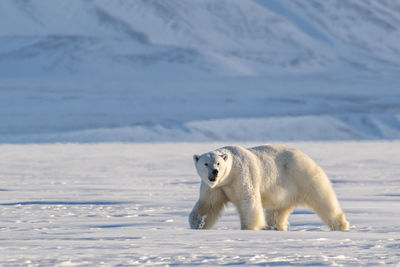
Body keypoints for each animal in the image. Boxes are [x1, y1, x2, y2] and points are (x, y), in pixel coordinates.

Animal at [189, 146, 348, 231]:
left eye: (218, 163)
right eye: (206, 163)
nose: (214, 172)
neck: (230, 175)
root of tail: (307, 157)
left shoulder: (242, 175)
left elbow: (248, 201)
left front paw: (248, 227)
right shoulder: (215, 187)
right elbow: (209, 205)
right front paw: (198, 223)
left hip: (303, 175)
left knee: (323, 199)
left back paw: (340, 225)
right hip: (285, 191)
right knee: (277, 212)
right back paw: (274, 227)